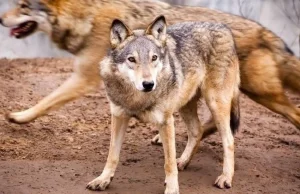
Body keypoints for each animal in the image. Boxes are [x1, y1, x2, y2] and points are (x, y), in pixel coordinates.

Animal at [88, 15, 239, 192]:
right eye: (131, 59)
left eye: (154, 58)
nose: (148, 84)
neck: (137, 99)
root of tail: (224, 26)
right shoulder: (119, 117)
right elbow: (112, 155)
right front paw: (103, 179)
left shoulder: (165, 122)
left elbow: (169, 163)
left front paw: (172, 188)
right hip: (185, 105)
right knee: (197, 131)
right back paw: (184, 161)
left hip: (215, 104)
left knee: (229, 140)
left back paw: (225, 177)